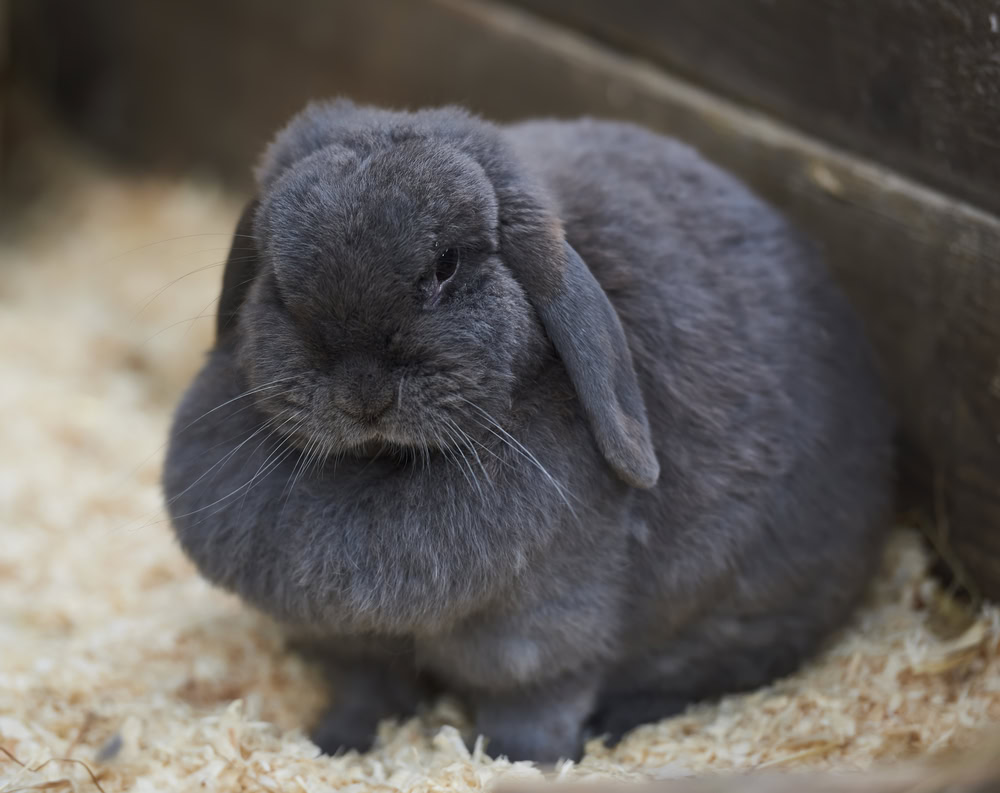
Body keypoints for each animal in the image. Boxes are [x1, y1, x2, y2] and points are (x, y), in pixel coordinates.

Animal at [162, 99, 894, 764]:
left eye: (445, 266)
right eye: (280, 286)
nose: (362, 393)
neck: (379, 465)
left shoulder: (541, 641)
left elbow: (536, 705)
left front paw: (516, 760)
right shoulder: (350, 645)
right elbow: (363, 691)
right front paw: (334, 744)